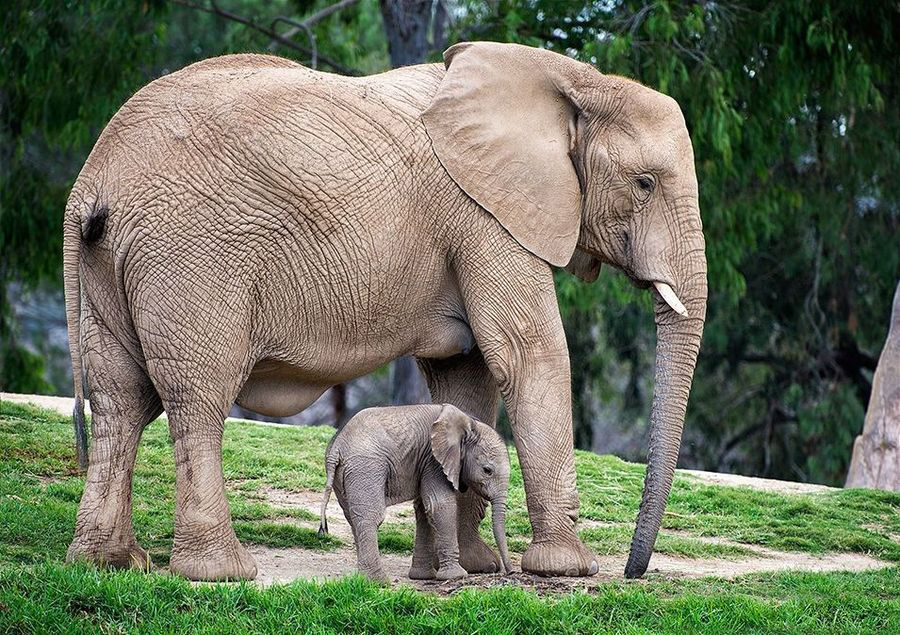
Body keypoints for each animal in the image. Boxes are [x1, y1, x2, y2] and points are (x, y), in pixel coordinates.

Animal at [320, 404, 510, 584]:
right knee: (370, 516)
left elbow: (424, 509)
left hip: (343, 475)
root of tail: (337, 448)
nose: (509, 571)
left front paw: (423, 577)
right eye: (487, 470)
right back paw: (378, 582)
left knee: (352, 517)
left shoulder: (424, 462)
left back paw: (362, 579)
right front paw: (456, 576)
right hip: (365, 467)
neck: (468, 423)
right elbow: (439, 505)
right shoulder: (434, 461)